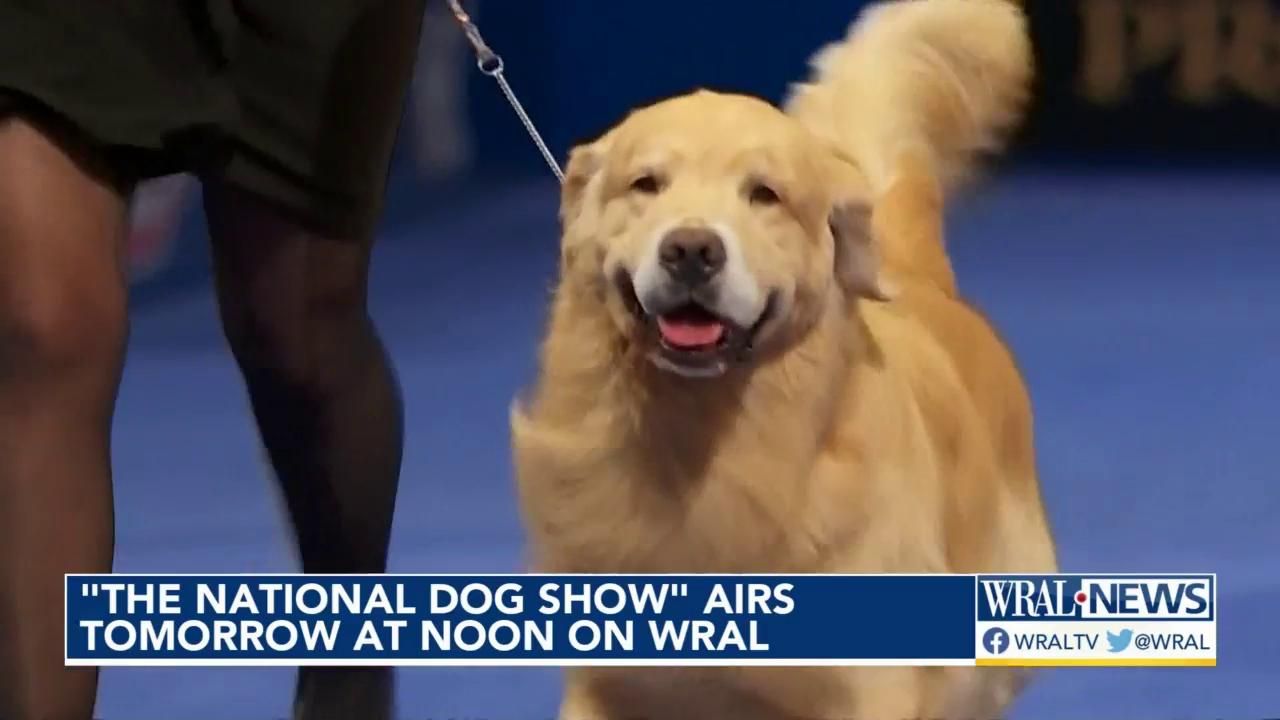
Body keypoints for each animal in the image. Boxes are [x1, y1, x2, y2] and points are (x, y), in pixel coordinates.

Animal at [509, 0, 1059, 712]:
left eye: (764, 194)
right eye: (646, 184)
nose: (691, 250)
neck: (708, 439)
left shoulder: (869, 684)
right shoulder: (612, 685)